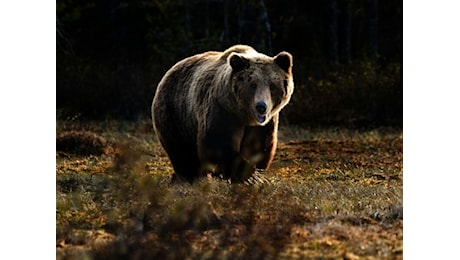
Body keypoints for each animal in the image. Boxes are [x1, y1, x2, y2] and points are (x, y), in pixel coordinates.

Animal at [152, 44, 294, 183]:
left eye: (272, 85)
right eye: (253, 85)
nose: (261, 107)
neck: (245, 116)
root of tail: (169, 71)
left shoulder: (264, 124)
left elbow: (259, 146)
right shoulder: (223, 110)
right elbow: (218, 143)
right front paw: (250, 175)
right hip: (175, 113)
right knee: (181, 151)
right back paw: (189, 177)